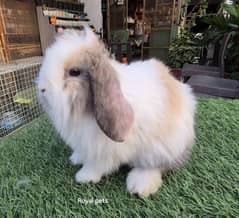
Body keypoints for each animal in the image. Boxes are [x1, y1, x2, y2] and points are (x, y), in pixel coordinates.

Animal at [37, 26, 196, 198]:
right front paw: (76, 158)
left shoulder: (103, 150)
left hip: (161, 149)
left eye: (74, 72)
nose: (42, 89)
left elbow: (96, 165)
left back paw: (139, 185)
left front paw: (84, 176)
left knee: (155, 166)